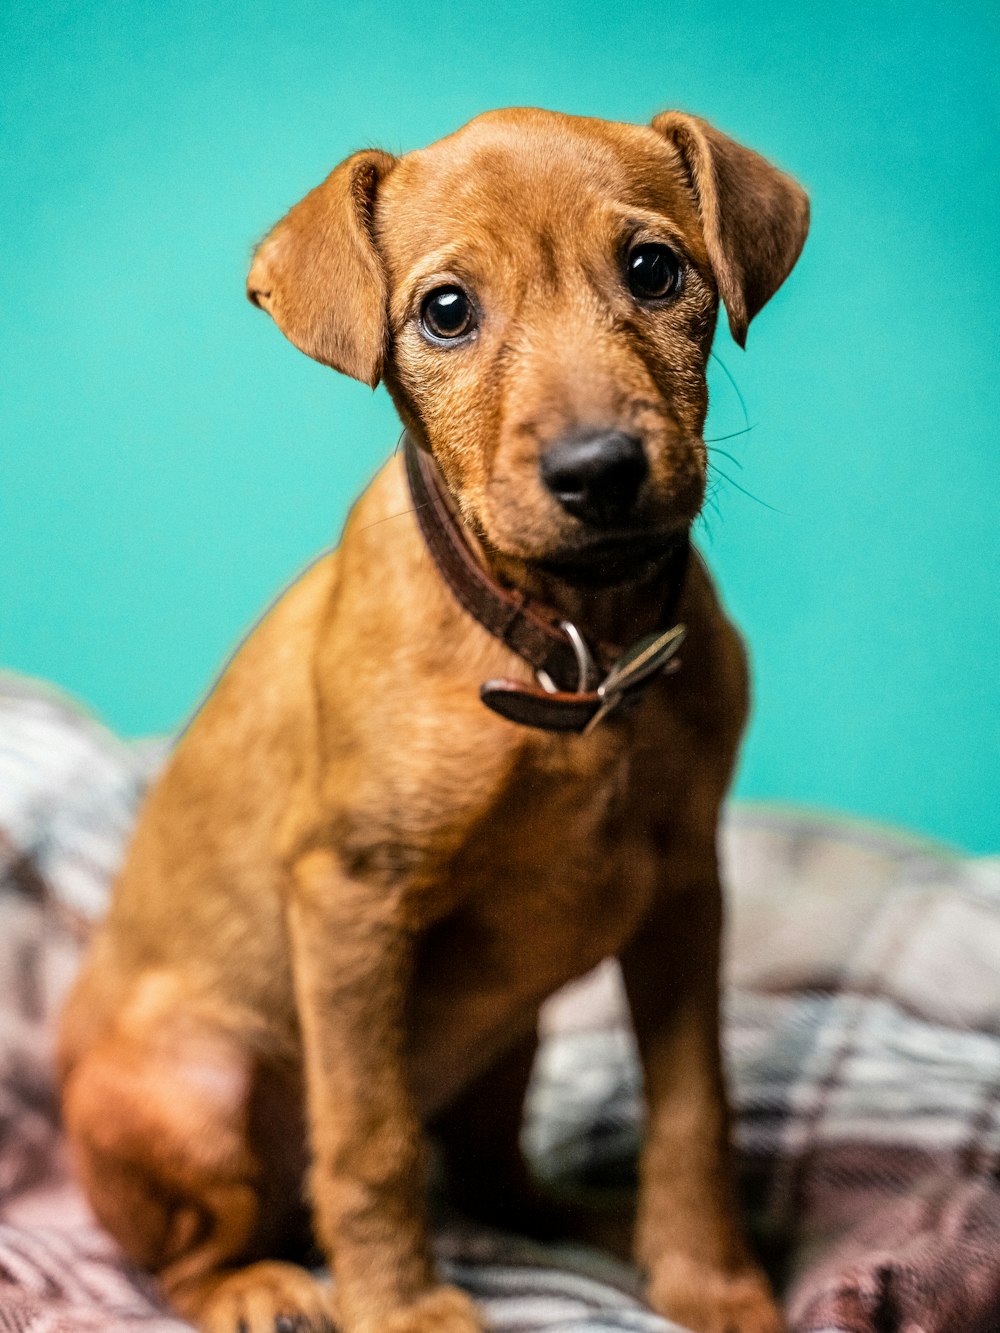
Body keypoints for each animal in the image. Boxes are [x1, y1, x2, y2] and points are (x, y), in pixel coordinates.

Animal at [58, 106, 810, 1333]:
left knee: (496, 1172)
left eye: (654, 271)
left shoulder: (684, 891)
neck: (573, 654)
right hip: (196, 1093)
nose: (598, 470)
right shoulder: (353, 900)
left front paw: (710, 1280)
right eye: (446, 310)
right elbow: (370, 1139)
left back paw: (596, 1225)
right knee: (183, 1257)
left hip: (518, 1030)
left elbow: (695, 1110)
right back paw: (259, 1286)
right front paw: (401, 1306)